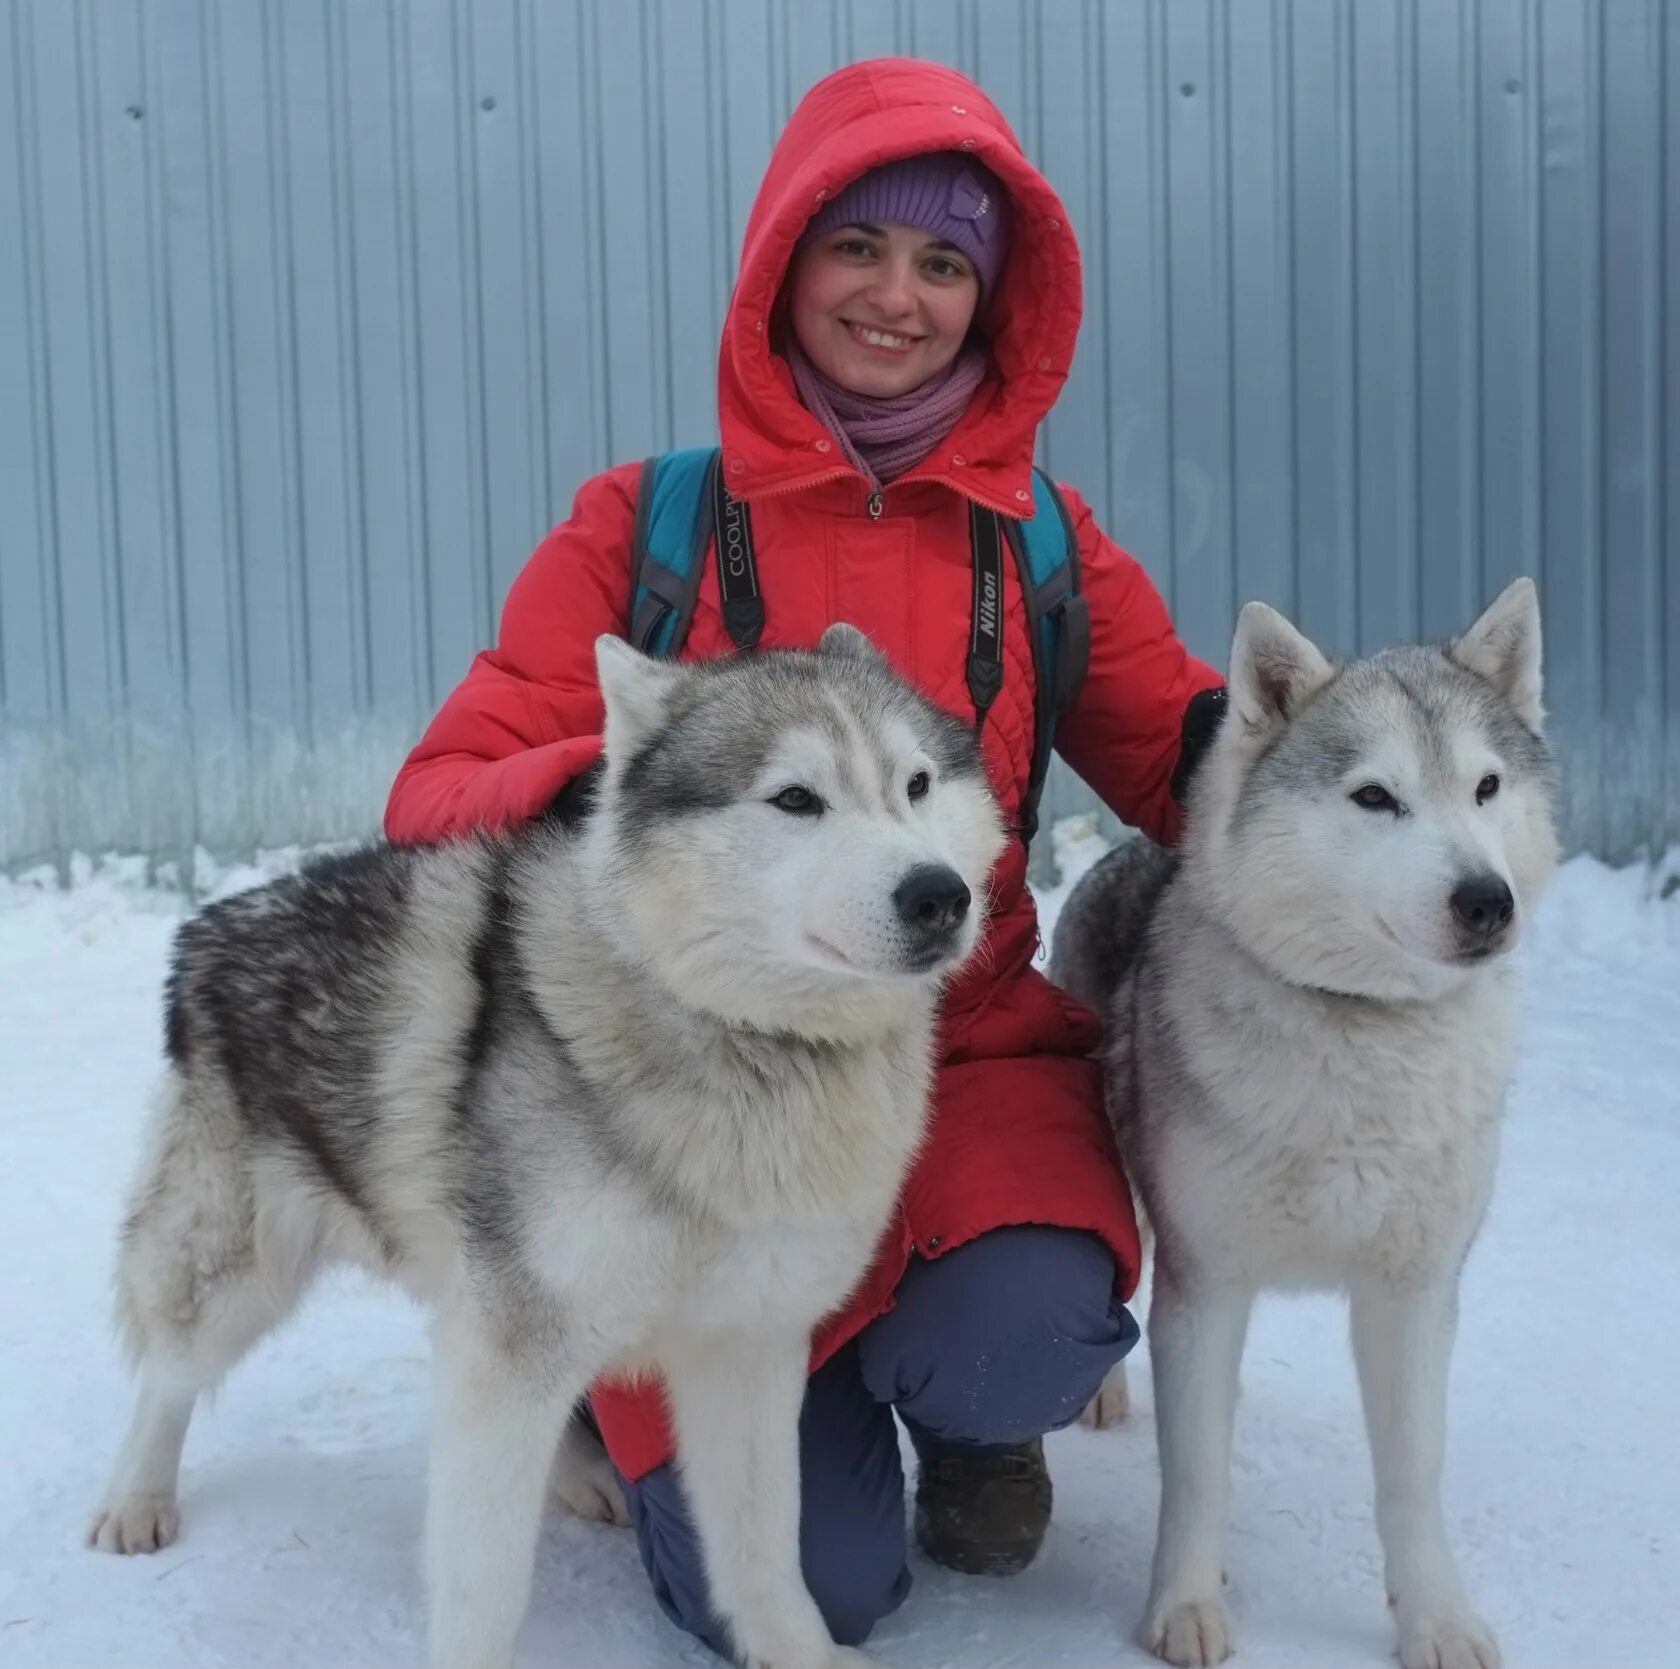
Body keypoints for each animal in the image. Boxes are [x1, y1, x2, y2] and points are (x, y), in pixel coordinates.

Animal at [88, 625, 994, 1667]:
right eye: (797, 797)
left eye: (918, 783)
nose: (939, 895)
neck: (741, 1038)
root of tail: (214, 923)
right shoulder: (517, 1344)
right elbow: (483, 1585)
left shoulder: (746, 1343)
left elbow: (766, 1550)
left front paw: (796, 1652)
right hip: (239, 1277)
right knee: (168, 1375)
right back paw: (134, 1500)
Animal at [1048, 581, 1559, 1667]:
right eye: (1375, 797)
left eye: (1486, 787)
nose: (1486, 902)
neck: (1363, 1029)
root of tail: (1136, 847)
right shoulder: (1204, 1282)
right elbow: (1196, 1470)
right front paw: (1185, 1606)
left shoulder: (1416, 1292)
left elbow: (1412, 1474)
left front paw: (1435, 1618)